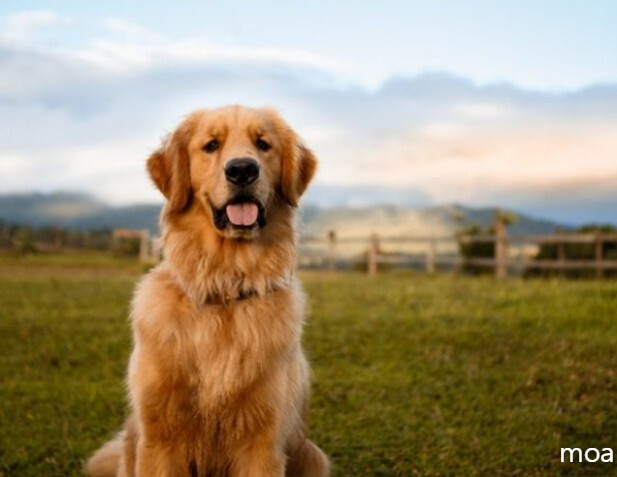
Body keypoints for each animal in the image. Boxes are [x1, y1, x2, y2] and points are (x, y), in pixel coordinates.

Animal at [85, 106, 332, 474]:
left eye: (263, 144)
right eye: (211, 145)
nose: (242, 169)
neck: (224, 287)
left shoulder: (263, 442)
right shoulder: (159, 439)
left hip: (312, 455)